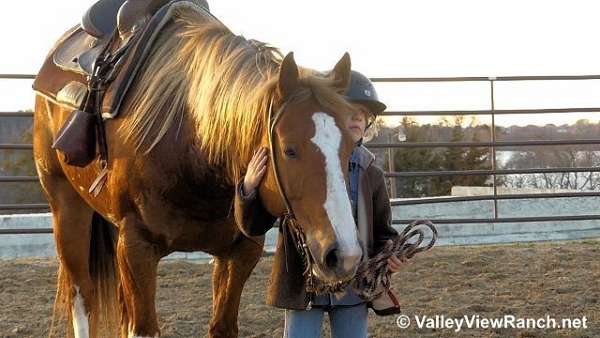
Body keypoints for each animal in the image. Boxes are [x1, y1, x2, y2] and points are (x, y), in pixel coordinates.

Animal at [32, 3, 364, 338]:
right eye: (289, 149)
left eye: (350, 146)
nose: (344, 254)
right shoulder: (137, 248)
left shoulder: (241, 252)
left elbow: (222, 325)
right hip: (67, 208)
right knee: (82, 296)